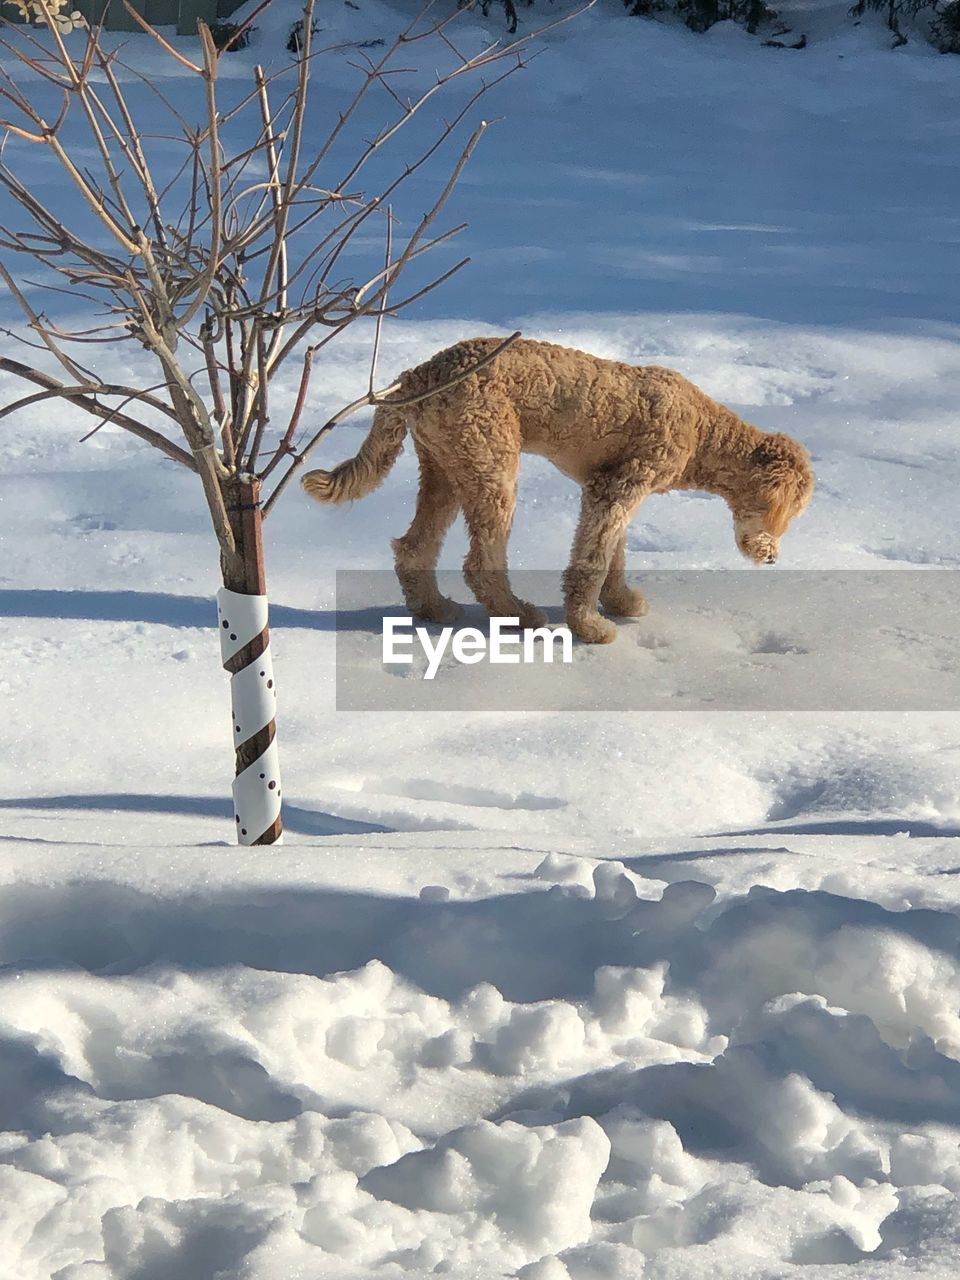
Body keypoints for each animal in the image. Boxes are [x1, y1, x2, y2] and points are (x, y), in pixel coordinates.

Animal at [300, 337, 814, 645]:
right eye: (782, 510)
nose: (772, 557)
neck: (702, 432)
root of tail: (417, 374)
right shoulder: (618, 489)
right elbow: (592, 563)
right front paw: (590, 627)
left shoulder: (604, 488)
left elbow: (613, 556)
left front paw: (621, 602)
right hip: (491, 466)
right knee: (479, 563)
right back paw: (520, 616)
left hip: (445, 468)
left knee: (413, 547)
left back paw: (434, 609)